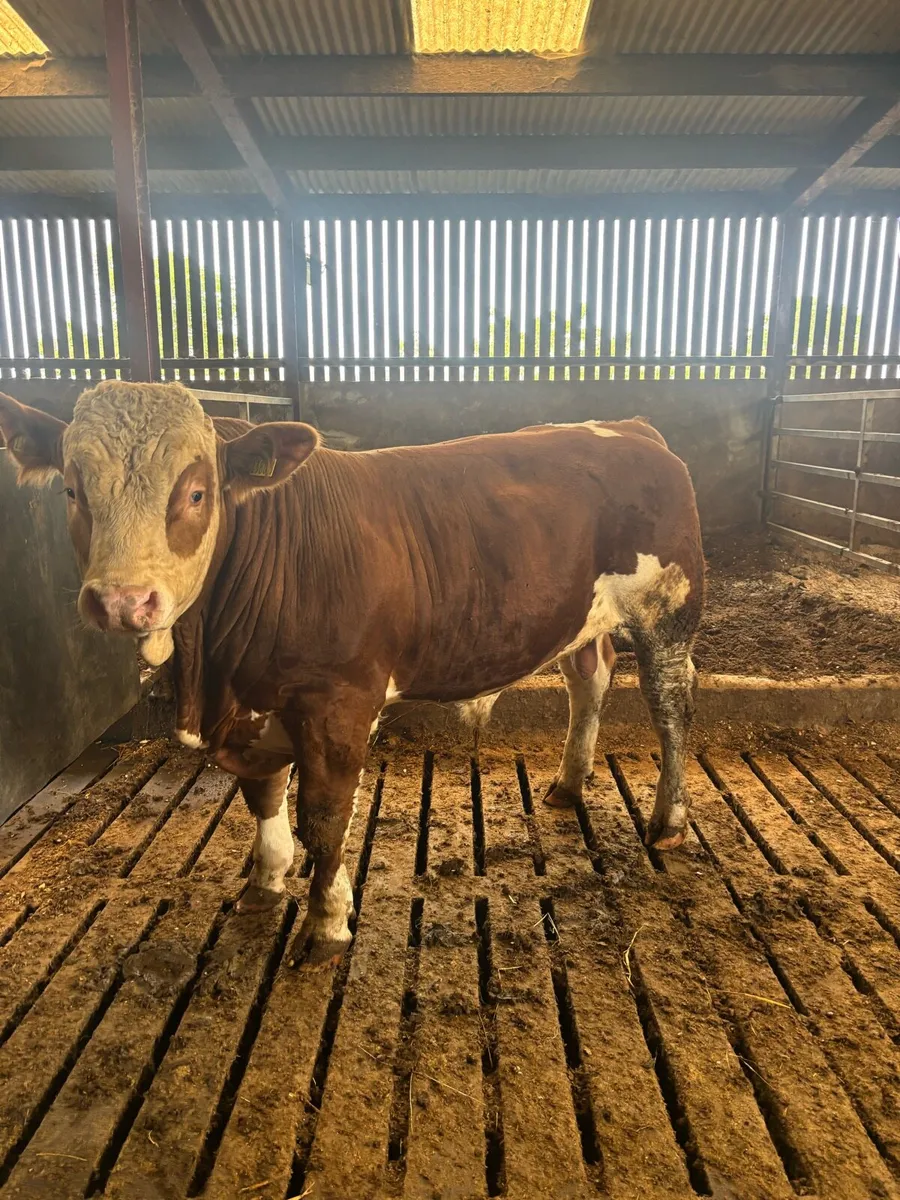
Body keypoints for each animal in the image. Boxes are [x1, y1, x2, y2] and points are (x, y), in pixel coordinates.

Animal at [0, 383, 704, 966]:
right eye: (72, 491)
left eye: (195, 493)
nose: (123, 601)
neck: (212, 675)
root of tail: (631, 427)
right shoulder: (254, 707)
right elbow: (262, 795)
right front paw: (265, 881)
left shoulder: (337, 703)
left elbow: (325, 817)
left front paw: (327, 923)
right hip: (581, 617)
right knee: (590, 676)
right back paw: (568, 783)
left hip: (668, 608)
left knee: (671, 704)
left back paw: (668, 821)